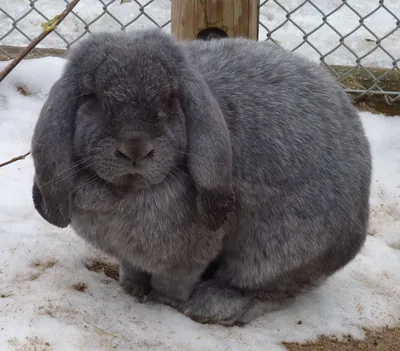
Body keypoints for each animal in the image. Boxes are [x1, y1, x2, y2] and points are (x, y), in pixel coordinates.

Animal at [31, 28, 372, 326]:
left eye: (170, 97)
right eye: (91, 97)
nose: (135, 148)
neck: (125, 192)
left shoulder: (186, 257)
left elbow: (174, 281)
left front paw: (164, 301)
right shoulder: (131, 256)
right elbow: (133, 270)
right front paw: (131, 288)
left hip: (275, 253)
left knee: (271, 289)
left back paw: (213, 306)